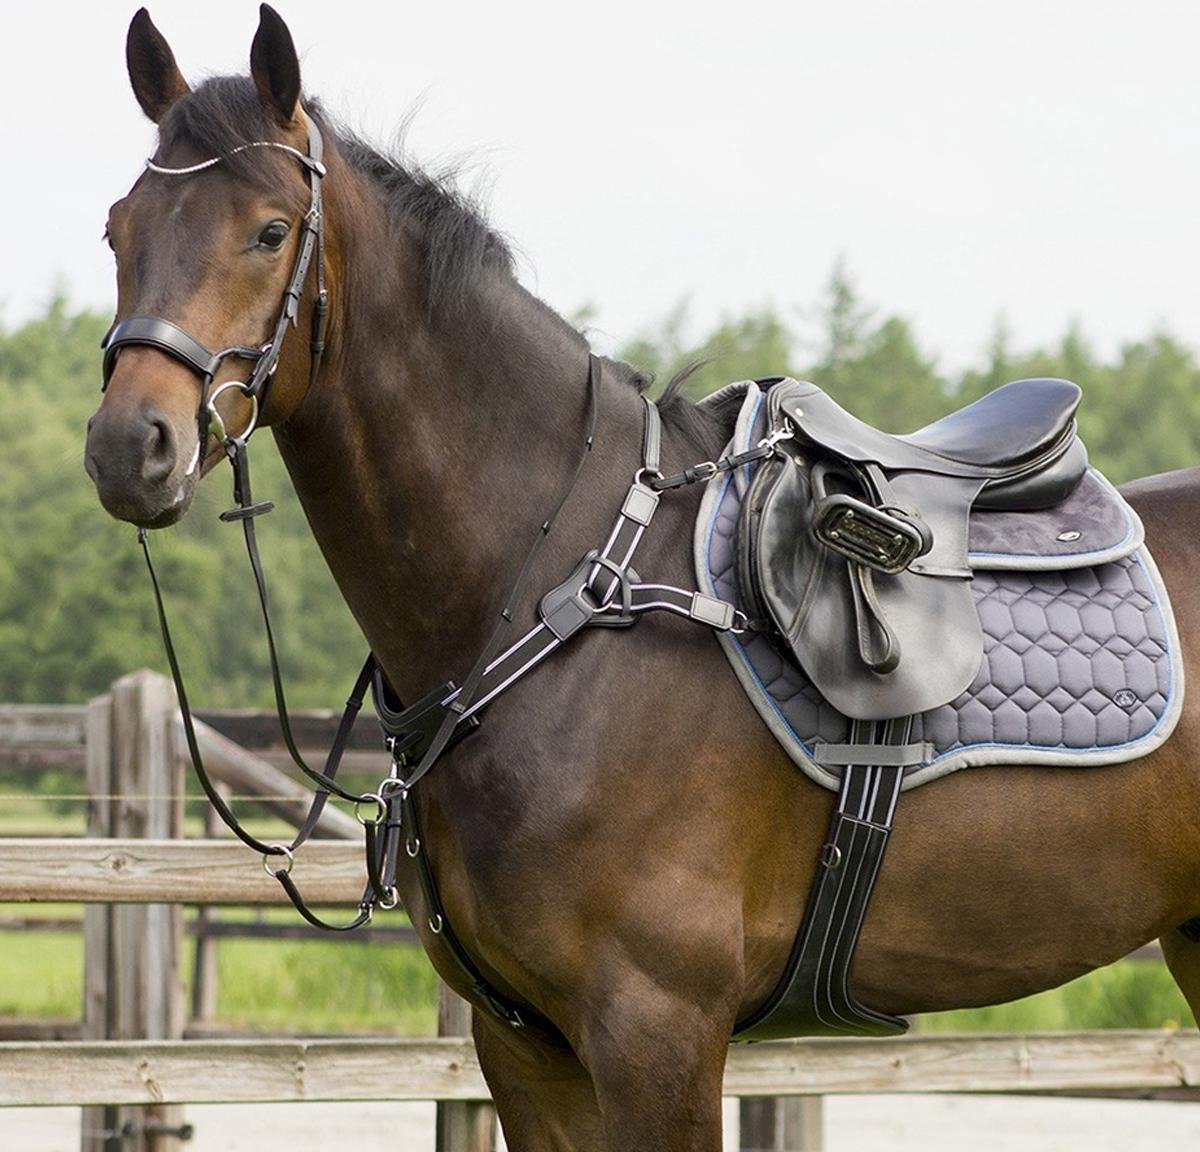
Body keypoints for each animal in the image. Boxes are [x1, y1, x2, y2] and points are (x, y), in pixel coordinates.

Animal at [84, 7, 1200, 1149]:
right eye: (119, 231)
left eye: (270, 231)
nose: (131, 447)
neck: (567, 597)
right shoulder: (525, 1047)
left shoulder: (657, 1030)